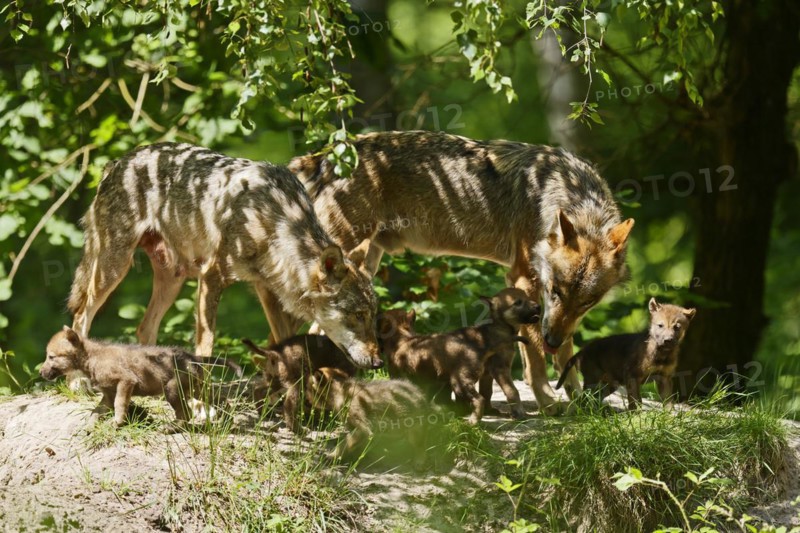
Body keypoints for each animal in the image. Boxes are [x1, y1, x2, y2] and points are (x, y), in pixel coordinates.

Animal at [40, 326, 209, 426]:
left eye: (51, 357)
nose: (40, 372)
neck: (91, 358)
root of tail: (193, 358)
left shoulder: (126, 380)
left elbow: (120, 404)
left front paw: (118, 422)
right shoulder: (108, 395)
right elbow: (96, 411)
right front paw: (90, 426)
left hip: (172, 389)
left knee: (186, 413)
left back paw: (172, 427)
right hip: (196, 390)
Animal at [68, 143, 381, 372]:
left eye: (372, 316)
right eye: (358, 315)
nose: (379, 362)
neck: (274, 220)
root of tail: (116, 163)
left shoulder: (266, 289)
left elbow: (284, 343)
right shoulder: (211, 277)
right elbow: (206, 347)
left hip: (173, 279)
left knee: (144, 329)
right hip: (114, 268)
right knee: (80, 317)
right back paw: (78, 381)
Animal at [377, 288, 541, 423]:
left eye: (527, 298)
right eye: (518, 302)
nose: (538, 306)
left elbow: (509, 391)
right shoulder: (489, 372)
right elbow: (488, 392)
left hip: (458, 381)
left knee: (479, 399)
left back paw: (473, 420)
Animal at [555, 298, 696, 409]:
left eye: (677, 327)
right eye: (660, 325)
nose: (667, 340)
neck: (661, 355)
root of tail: (582, 351)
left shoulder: (665, 377)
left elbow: (668, 402)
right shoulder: (632, 375)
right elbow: (635, 400)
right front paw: (636, 416)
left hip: (610, 384)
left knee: (594, 398)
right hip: (593, 379)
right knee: (585, 398)